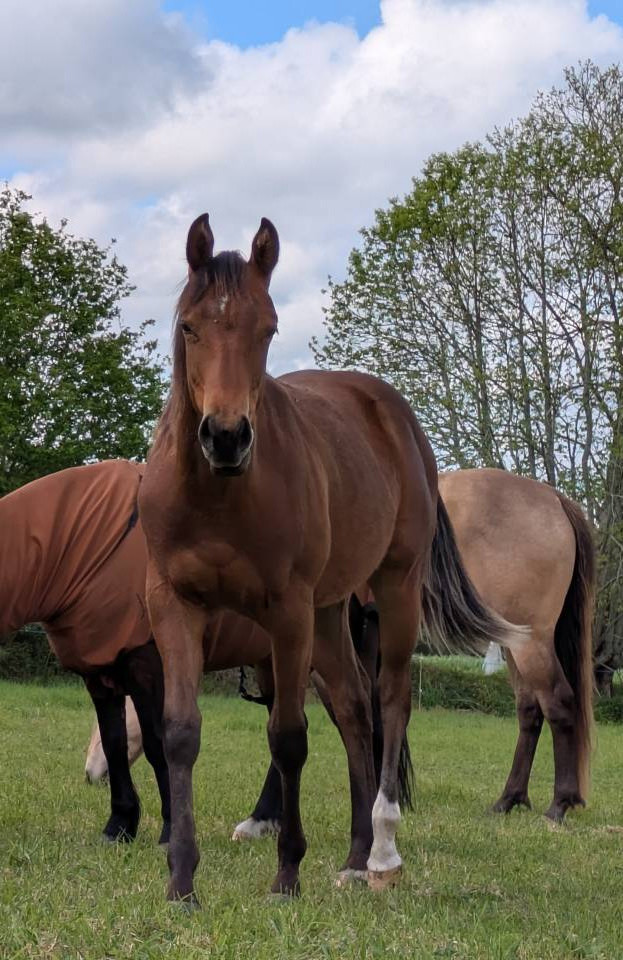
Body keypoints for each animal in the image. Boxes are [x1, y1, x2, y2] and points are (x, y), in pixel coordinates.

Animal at [138, 213, 527, 903]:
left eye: (268, 329)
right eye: (189, 326)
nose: (227, 437)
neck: (218, 494)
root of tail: (394, 414)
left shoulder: (286, 613)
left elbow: (288, 737)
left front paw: (286, 873)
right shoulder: (174, 605)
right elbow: (180, 733)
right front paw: (182, 880)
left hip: (391, 590)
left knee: (390, 700)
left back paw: (383, 851)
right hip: (329, 611)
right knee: (352, 708)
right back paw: (354, 853)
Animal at [438, 468, 595, 822]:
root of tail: (554, 498)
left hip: (531, 644)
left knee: (557, 702)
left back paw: (559, 805)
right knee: (530, 710)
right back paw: (509, 799)